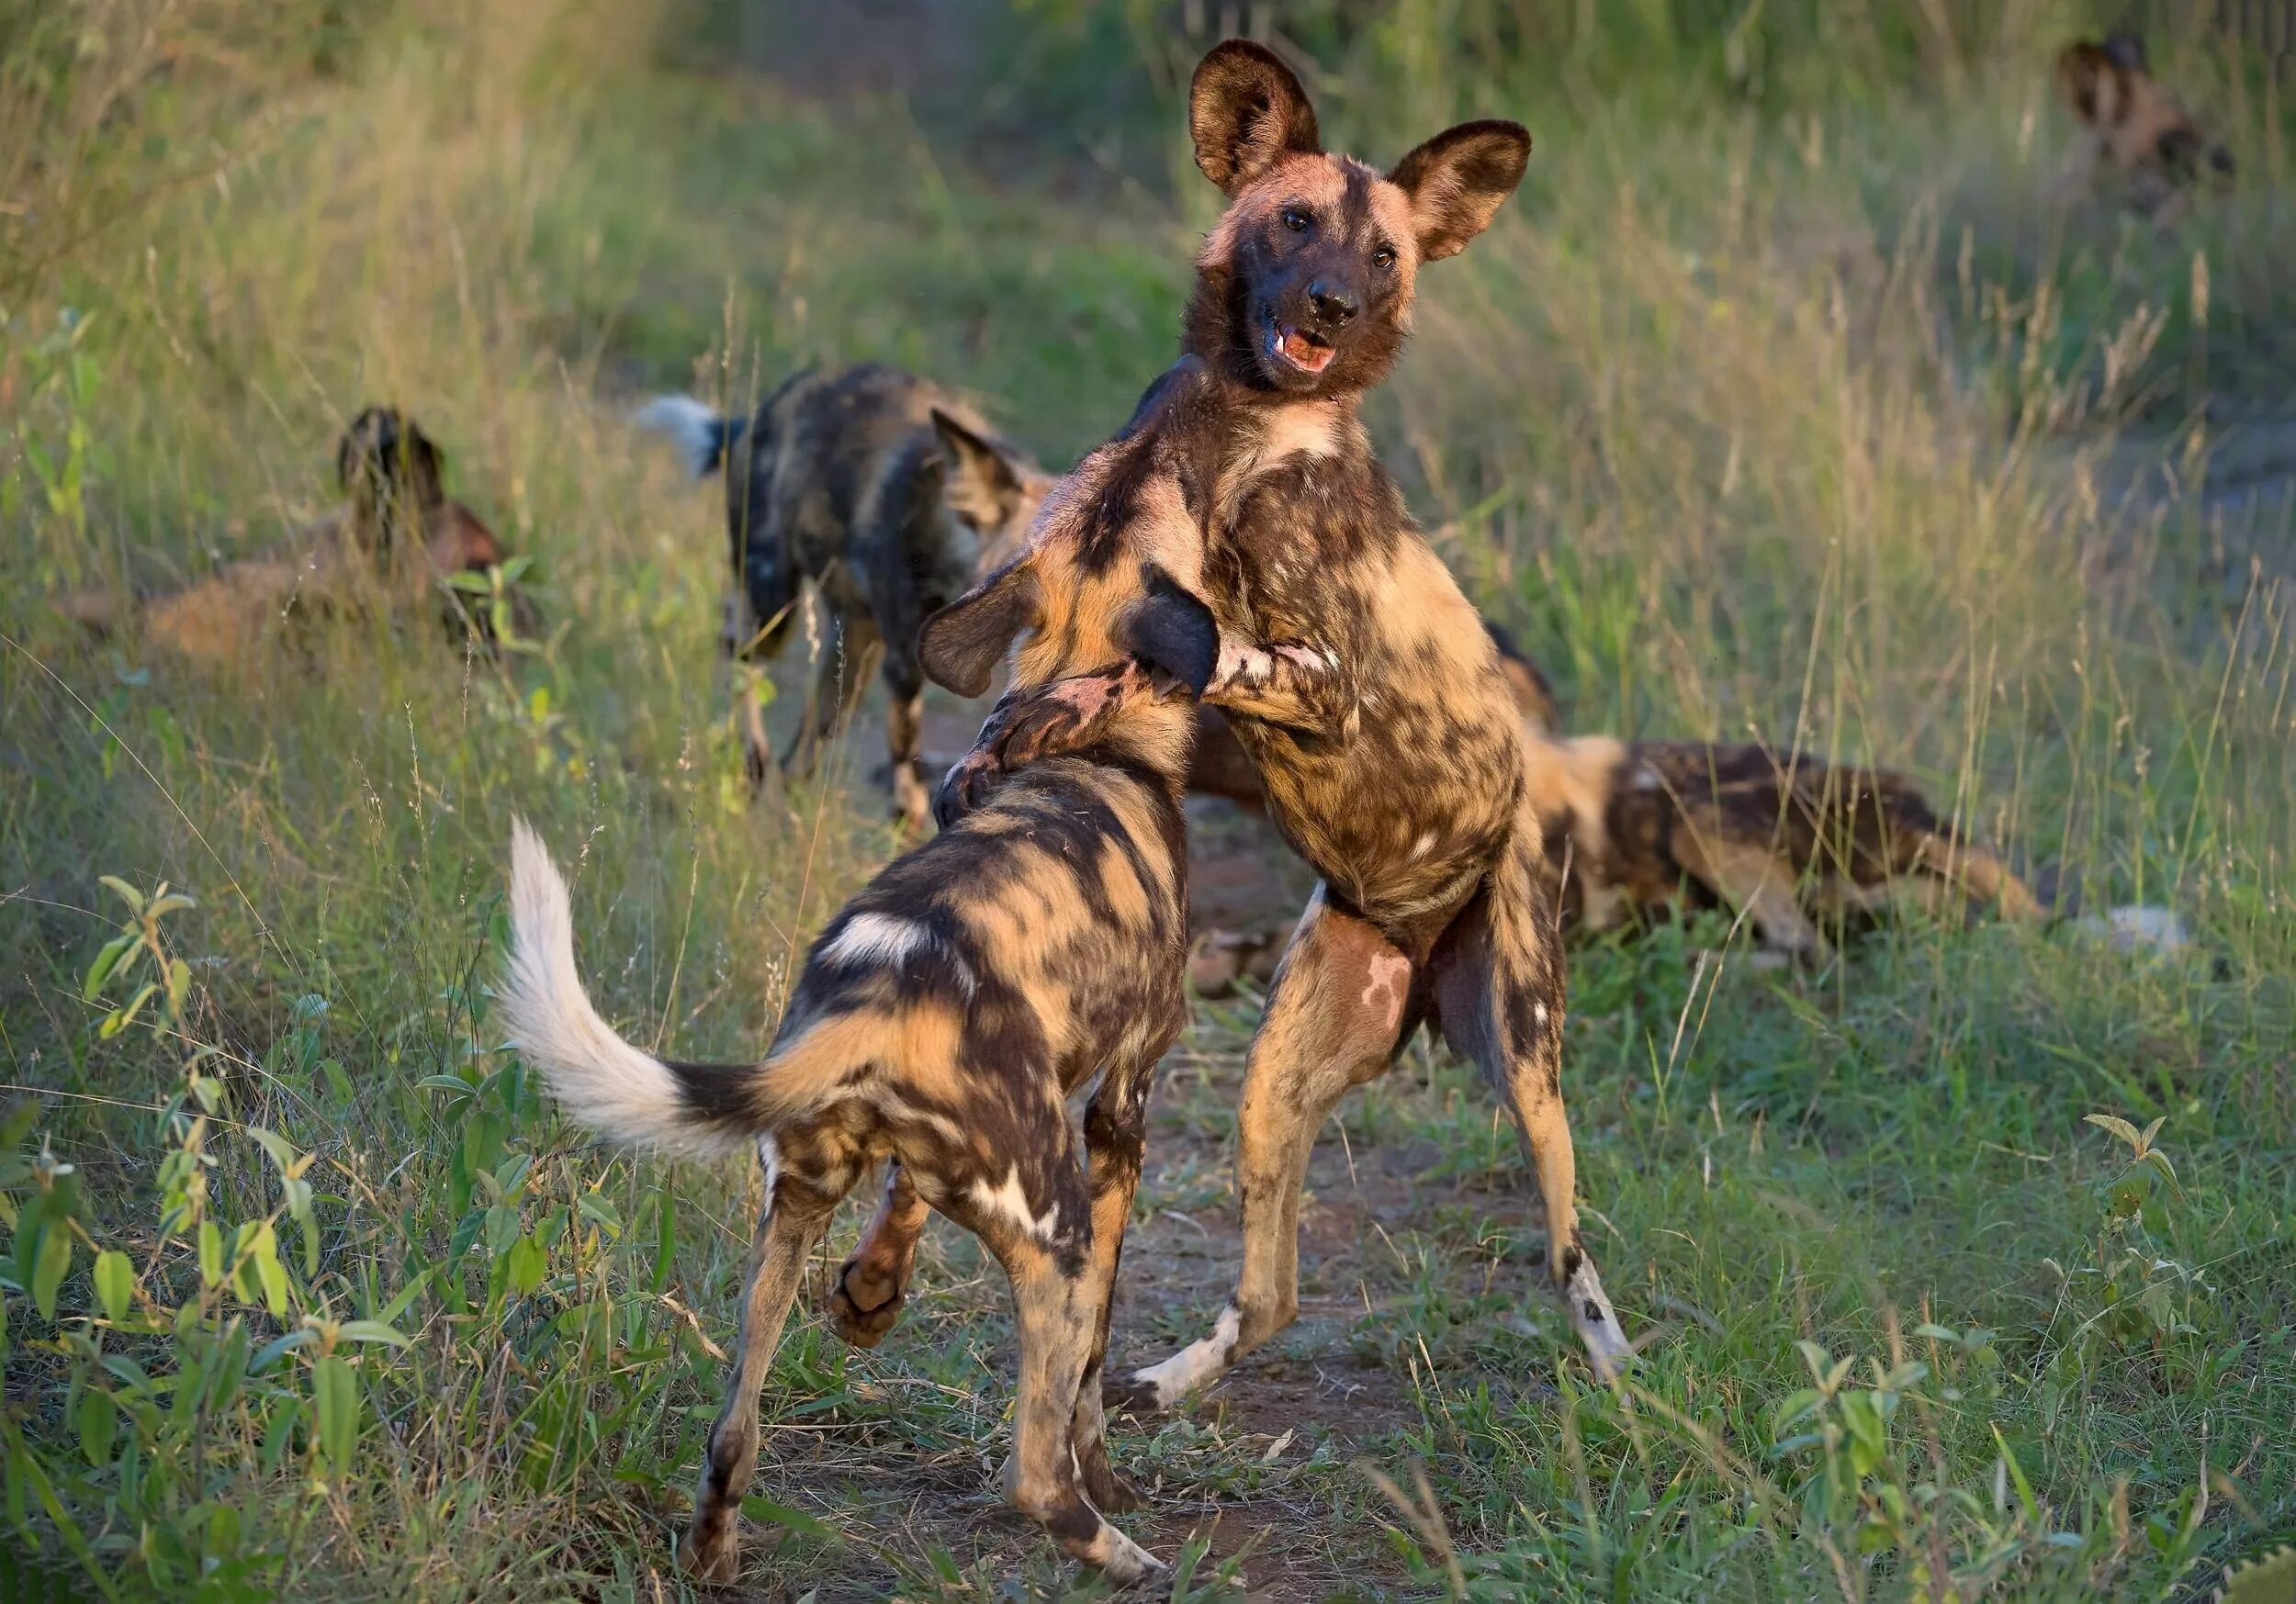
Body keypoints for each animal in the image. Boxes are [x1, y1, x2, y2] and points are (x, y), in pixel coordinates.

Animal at [634, 365, 1052, 825]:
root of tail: (768, 408)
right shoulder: (903, 665)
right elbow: (907, 771)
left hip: (849, 652)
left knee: (800, 750)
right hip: (774, 606)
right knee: (741, 655)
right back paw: (753, 758)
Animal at [836, 40, 1644, 1404]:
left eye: (1387, 256)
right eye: (1297, 221)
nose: (1331, 307)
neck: (1234, 432)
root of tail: (1421, 937)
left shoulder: (1310, 676)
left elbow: (1187, 661)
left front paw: (1049, 714)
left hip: (1531, 1066)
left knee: (1571, 1252)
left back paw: (1622, 1371)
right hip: (1280, 1078)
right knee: (1271, 1294)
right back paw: (1157, 1381)